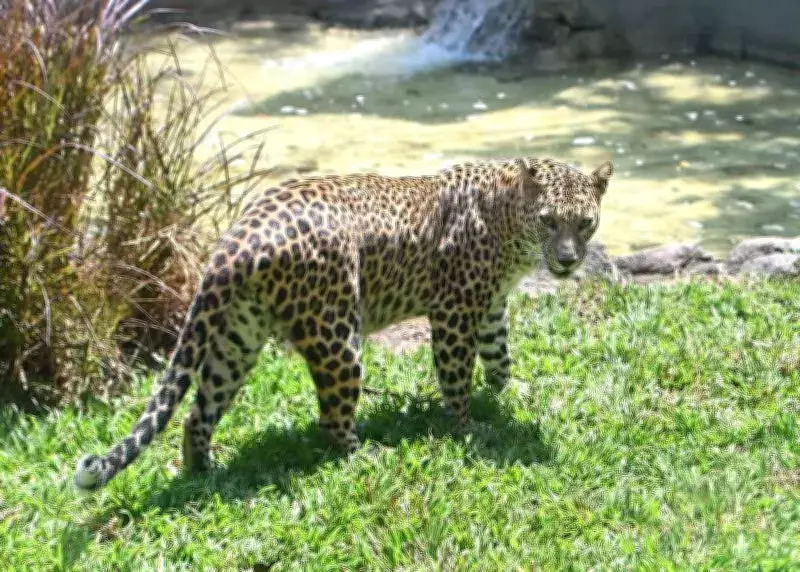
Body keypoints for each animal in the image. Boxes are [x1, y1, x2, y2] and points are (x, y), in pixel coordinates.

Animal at [74, 156, 614, 490]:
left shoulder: (491, 307)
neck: (511, 225)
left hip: (236, 338)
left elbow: (500, 354)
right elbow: (457, 375)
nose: (567, 261)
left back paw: (203, 475)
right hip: (338, 338)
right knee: (331, 423)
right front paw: (467, 428)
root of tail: (237, 237)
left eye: (585, 223)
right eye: (549, 221)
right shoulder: (454, 312)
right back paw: (370, 456)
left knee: (197, 413)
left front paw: (509, 394)